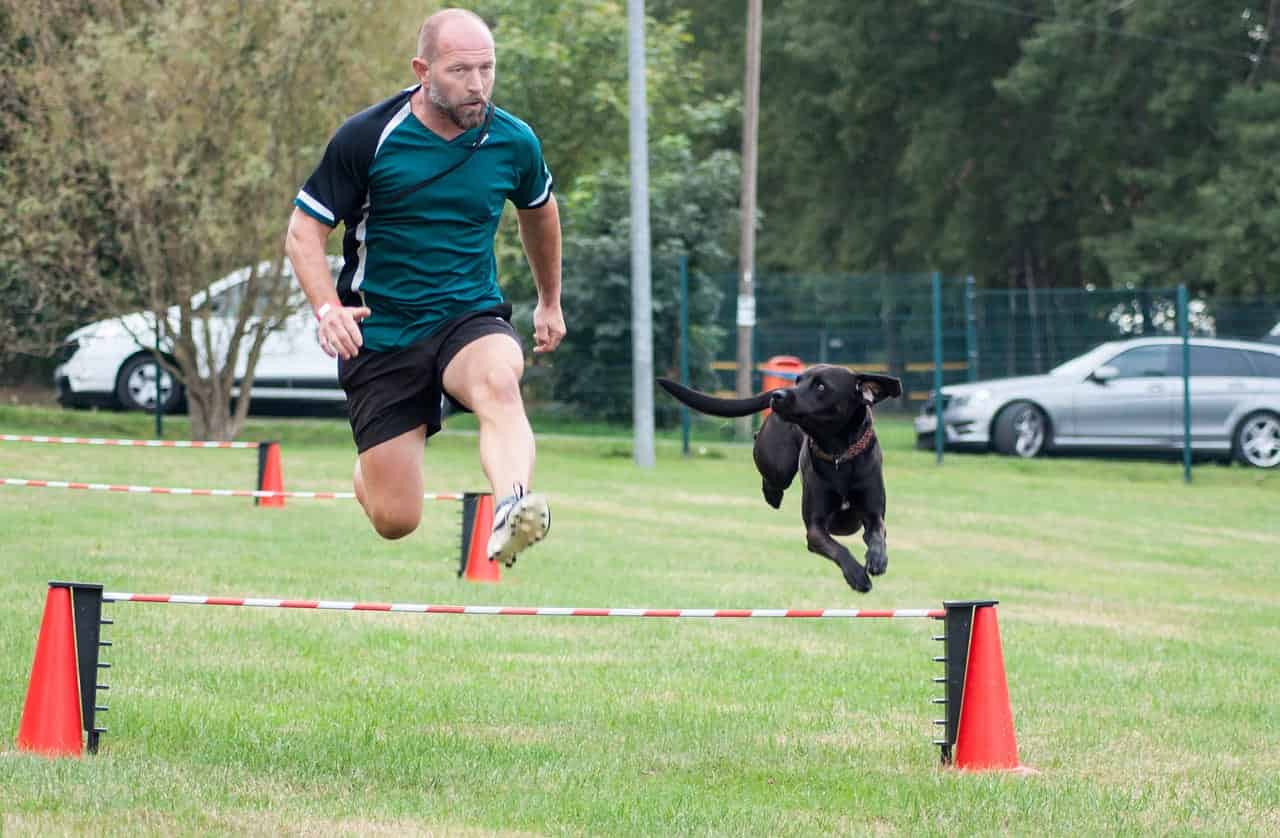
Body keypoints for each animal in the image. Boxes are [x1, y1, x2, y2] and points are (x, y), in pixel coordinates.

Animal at [660, 368, 901, 596]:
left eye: (821, 386)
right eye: (798, 380)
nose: (778, 395)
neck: (838, 454)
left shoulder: (873, 514)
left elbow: (878, 534)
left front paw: (877, 559)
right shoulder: (814, 529)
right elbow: (838, 548)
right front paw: (857, 576)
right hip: (778, 466)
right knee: (765, 459)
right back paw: (772, 494)